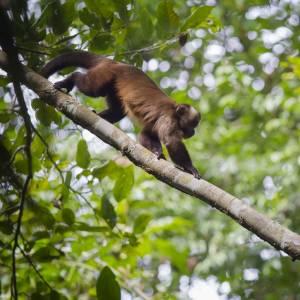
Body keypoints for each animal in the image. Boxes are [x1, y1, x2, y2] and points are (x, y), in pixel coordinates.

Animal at [39, 51, 199, 178]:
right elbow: (171, 141)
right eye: (193, 124)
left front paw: (156, 152)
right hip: (106, 74)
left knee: (118, 110)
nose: (193, 132)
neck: (175, 112)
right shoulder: (169, 119)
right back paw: (71, 79)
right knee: (93, 89)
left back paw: (98, 118)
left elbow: (146, 134)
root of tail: (117, 62)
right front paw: (190, 168)